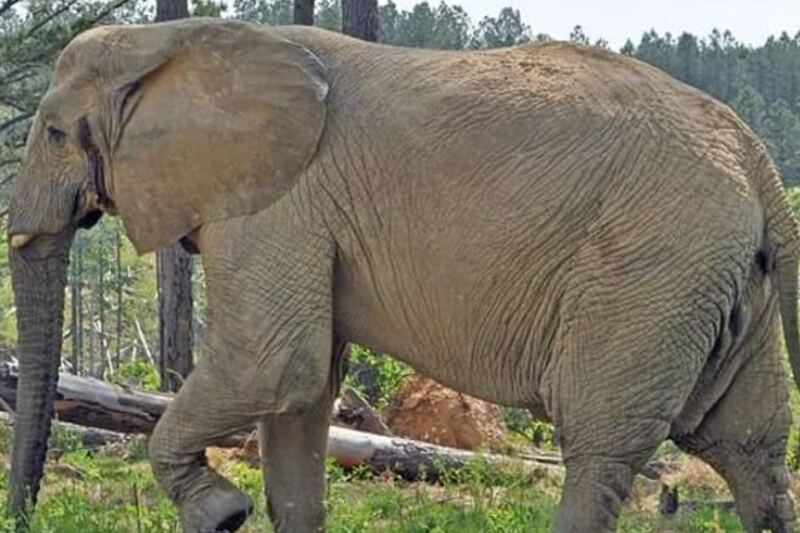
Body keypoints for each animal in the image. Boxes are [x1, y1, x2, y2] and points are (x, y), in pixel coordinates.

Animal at [6, 17, 800, 533]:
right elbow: (300, 395)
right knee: (748, 445)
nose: (23, 515)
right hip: (717, 279)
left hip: (649, 269)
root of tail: (754, 155)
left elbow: (273, 362)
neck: (171, 39)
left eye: (54, 133)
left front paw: (220, 514)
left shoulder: (277, 204)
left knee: (602, 441)